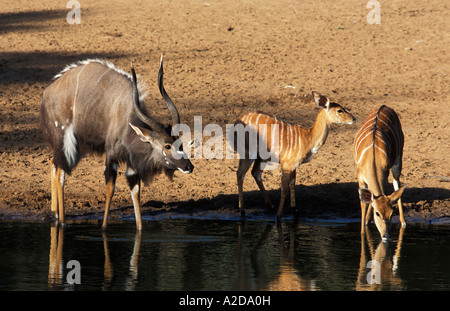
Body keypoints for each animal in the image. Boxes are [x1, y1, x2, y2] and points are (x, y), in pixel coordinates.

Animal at [39, 57, 192, 230]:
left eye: (180, 144)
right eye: (167, 146)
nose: (189, 167)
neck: (126, 116)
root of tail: (47, 92)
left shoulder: (132, 163)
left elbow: (135, 191)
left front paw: (139, 228)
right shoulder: (111, 154)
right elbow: (110, 188)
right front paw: (104, 227)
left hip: (78, 147)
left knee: (54, 163)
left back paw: (55, 215)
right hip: (65, 141)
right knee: (61, 170)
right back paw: (62, 221)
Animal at [232, 91, 356, 221]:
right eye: (339, 110)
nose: (354, 118)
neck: (308, 138)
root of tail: (237, 122)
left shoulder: (294, 165)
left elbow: (292, 184)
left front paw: (295, 212)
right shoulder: (287, 164)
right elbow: (284, 189)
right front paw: (279, 217)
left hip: (261, 157)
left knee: (255, 173)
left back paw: (270, 205)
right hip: (247, 152)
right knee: (240, 174)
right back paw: (242, 211)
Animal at [356, 105, 408, 241]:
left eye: (391, 214)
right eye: (377, 213)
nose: (386, 236)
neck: (372, 157)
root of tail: (384, 106)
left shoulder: (384, 173)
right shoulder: (360, 176)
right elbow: (364, 203)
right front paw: (363, 231)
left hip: (398, 159)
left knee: (397, 185)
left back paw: (403, 222)